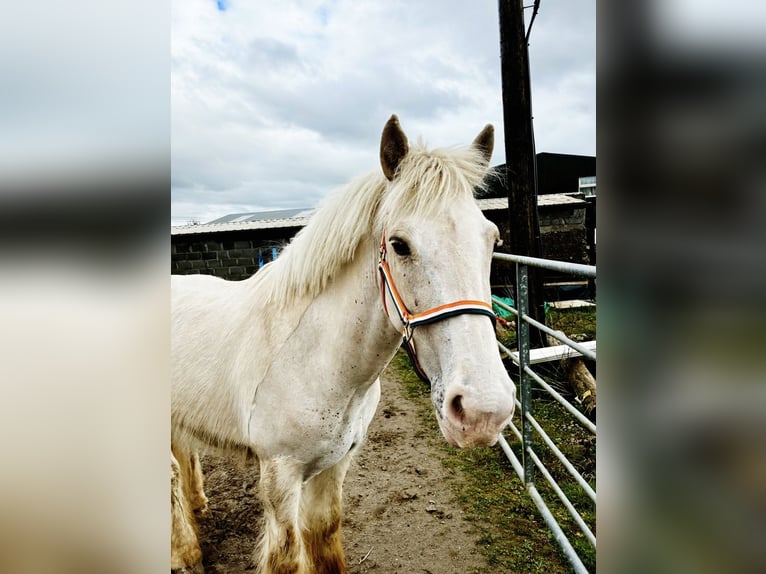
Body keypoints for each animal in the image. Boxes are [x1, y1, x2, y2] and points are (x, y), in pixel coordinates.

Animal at [171, 115, 517, 573]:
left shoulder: (335, 466)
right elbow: (287, 555)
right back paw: (184, 553)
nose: (482, 412)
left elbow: (326, 531)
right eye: (399, 244)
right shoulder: (279, 477)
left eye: (492, 240)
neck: (314, 361)